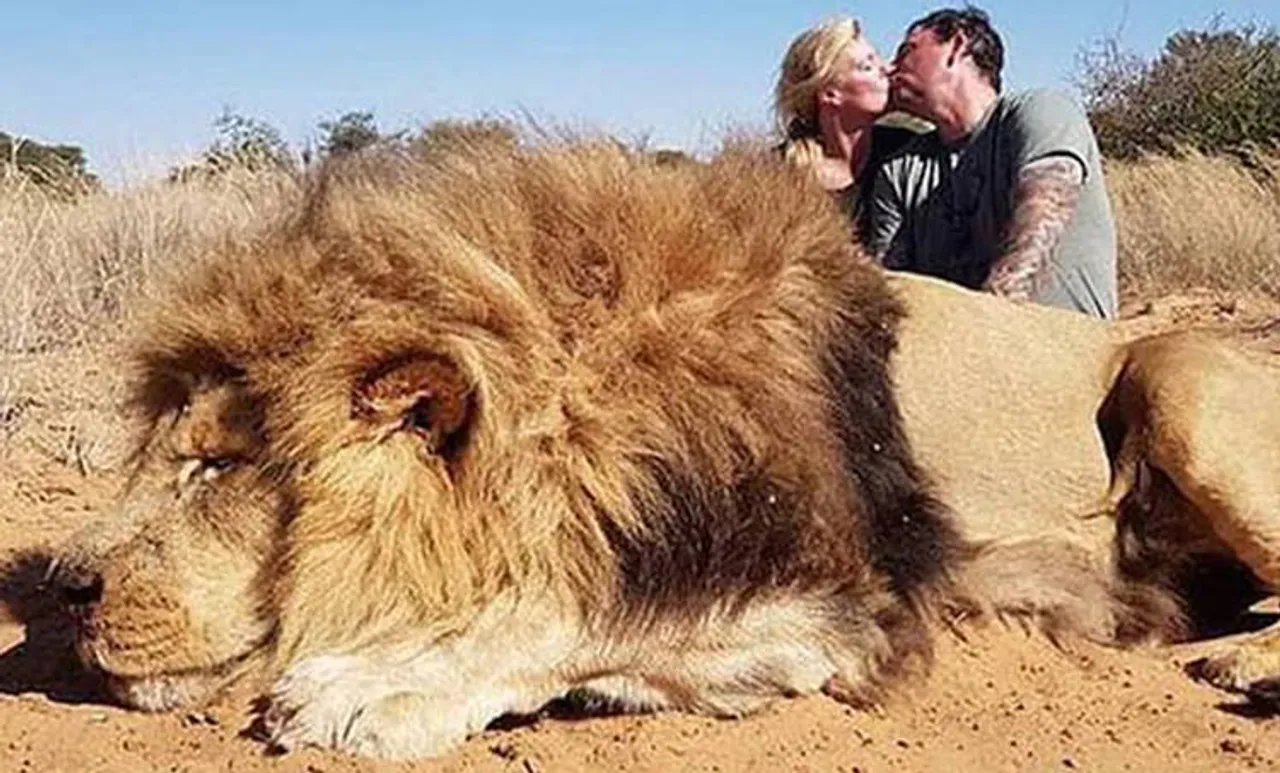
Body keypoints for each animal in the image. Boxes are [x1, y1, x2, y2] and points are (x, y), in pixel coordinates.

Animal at [46, 138, 1280, 759]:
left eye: (217, 464)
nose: (66, 585)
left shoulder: (853, 599)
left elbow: (580, 610)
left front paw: (371, 685)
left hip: (1176, 372)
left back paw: (1246, 666)